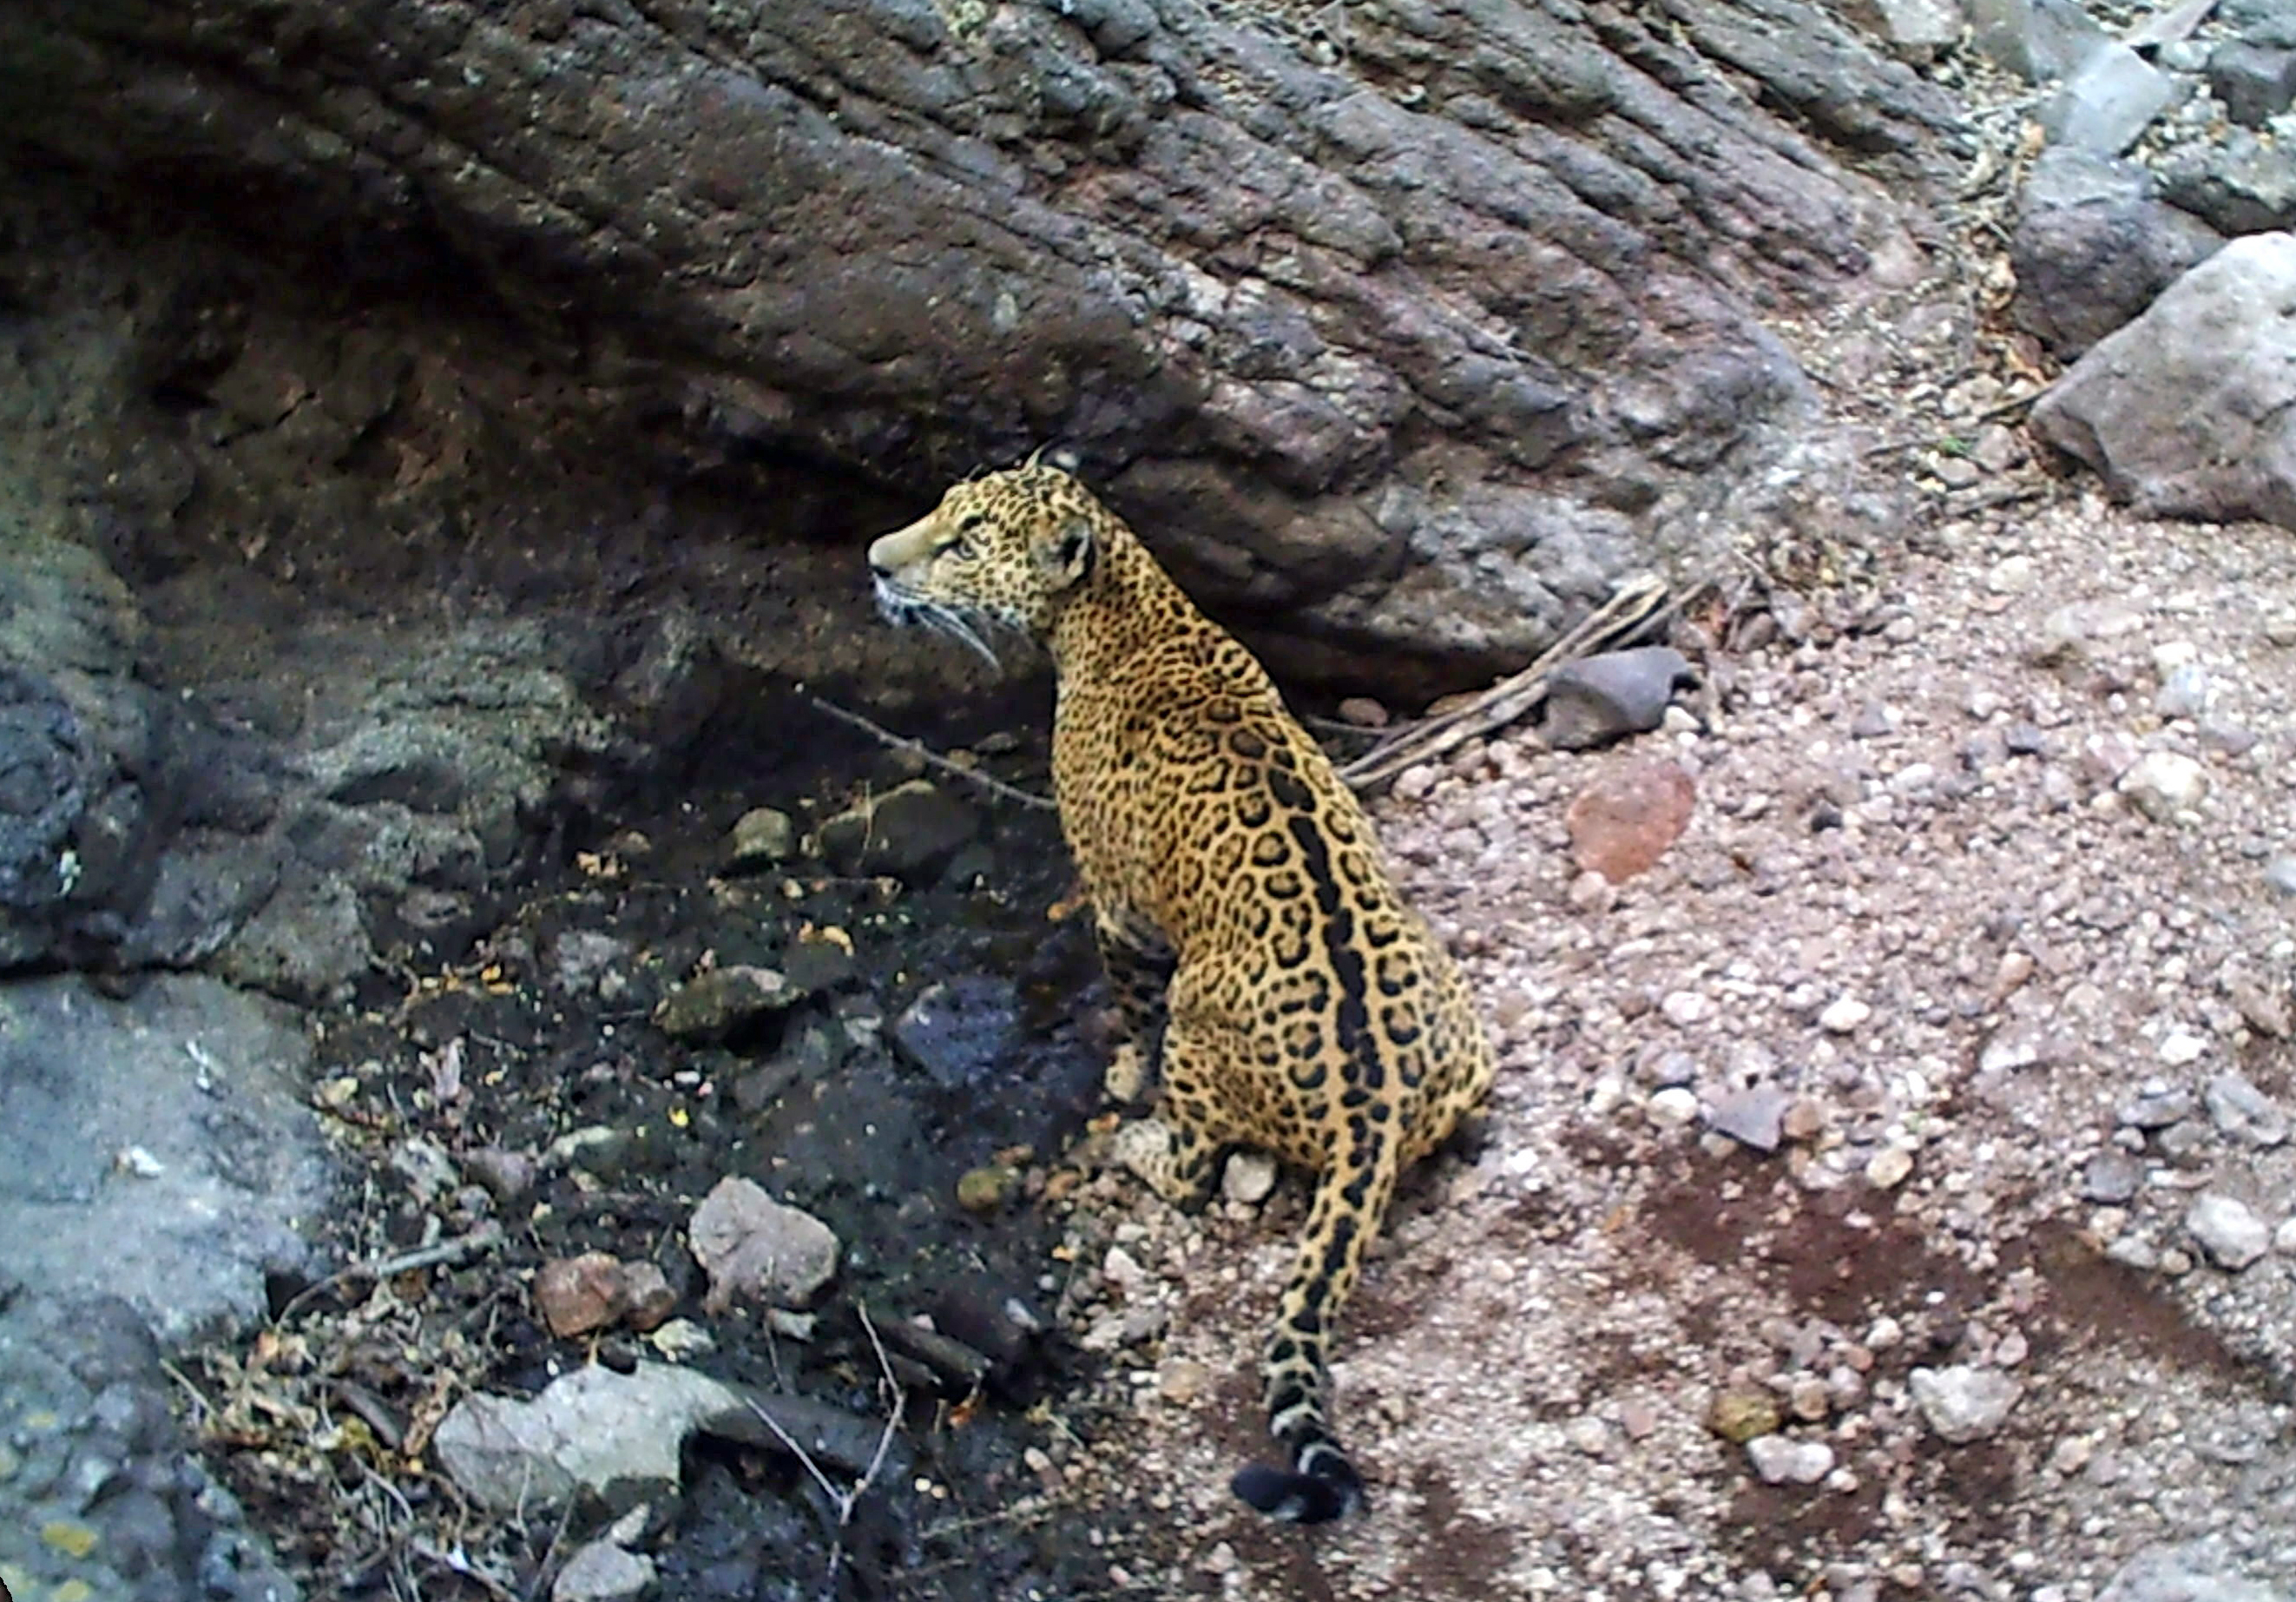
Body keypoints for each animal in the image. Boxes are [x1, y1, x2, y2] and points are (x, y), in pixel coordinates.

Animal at [867, 458, 1494, 1524]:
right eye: (940, 513)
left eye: (962, 540)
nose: (874, 560)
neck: (1128, 607)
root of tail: (1371, 1115)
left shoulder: (1118, 908)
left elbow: (1127, 1005)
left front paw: (1121, 1075)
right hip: (1462, 1020)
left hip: (1199, 1033)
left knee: (1198, 1165)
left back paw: (1139, 1143)